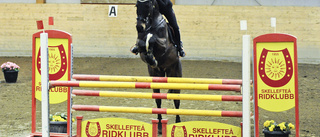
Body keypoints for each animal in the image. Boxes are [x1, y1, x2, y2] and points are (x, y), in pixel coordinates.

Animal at [134, 0, 181, 134]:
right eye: (136, 5)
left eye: (147, 5)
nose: (139, 27)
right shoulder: (140, 45)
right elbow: (141, 43)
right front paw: (151, 57)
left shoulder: (164, 44)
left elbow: (154, 39)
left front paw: (151, 50)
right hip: (155, 76)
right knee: (158, 101)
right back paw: (159, 126)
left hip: (175, 74)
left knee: (176, 101)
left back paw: (178, 122)